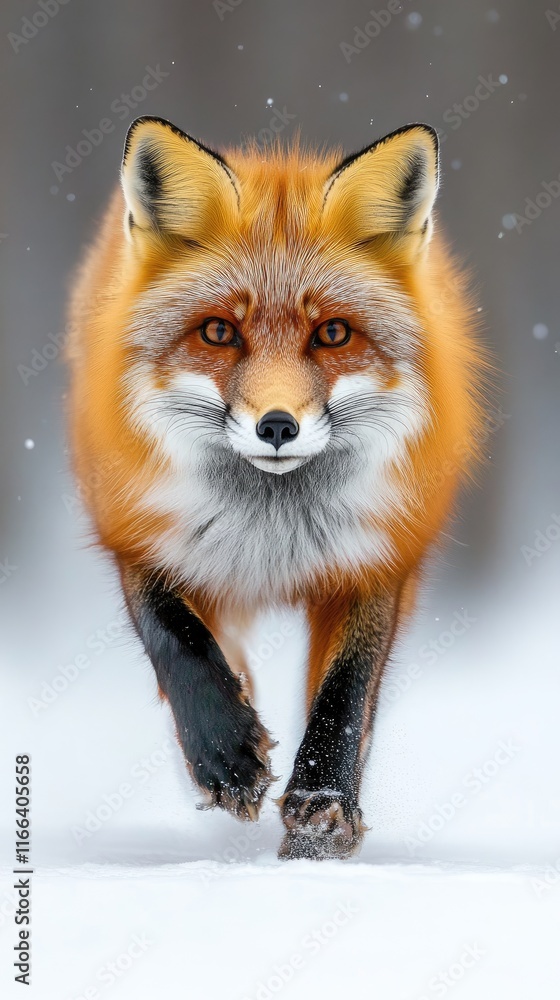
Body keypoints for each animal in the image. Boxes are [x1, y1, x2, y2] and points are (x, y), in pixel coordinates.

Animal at [66, 116, 488, 860]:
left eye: (333, 334)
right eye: (218, 331)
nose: (277, 426)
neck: (271, 535)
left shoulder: (376, 557)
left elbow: (346, 695)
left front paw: (322, 809)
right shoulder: (138, 531)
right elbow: (179, 641)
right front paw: (226, 756)